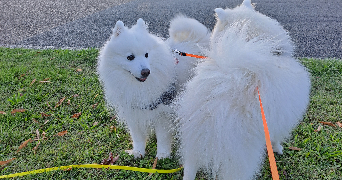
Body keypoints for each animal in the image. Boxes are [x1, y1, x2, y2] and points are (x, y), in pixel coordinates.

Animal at [97, 16, 210, 158]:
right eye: (130, 57)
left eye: (146, 54)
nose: (146, 71)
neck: (139, 87)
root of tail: (195, 40)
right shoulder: (133, 112)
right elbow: (137, 136)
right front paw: (138, 152)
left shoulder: (162, 113)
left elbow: (162, 137)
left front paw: (162, 155)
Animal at [178, 0, 312, 179]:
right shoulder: (280, 119)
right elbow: (275, 138)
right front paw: (278, 149)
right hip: (241, 156)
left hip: (193, 138)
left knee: (189, 167)